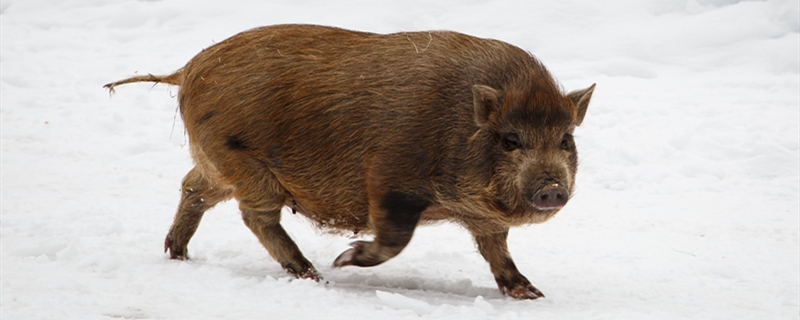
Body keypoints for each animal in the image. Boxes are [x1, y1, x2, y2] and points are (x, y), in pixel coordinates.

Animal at [104, 24, 592, 300]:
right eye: (510, 140)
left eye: (565, 139)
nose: (552, 189)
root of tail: (188, 70)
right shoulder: (389, 178)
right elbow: (395, 238)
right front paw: (345, 259)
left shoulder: (482, 216)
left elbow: (497, 248)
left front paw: (531, 294)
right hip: (246, 166)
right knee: (254, 216)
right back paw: (314, 276)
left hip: (218, 165)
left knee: (192, 187)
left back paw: (178, 254)